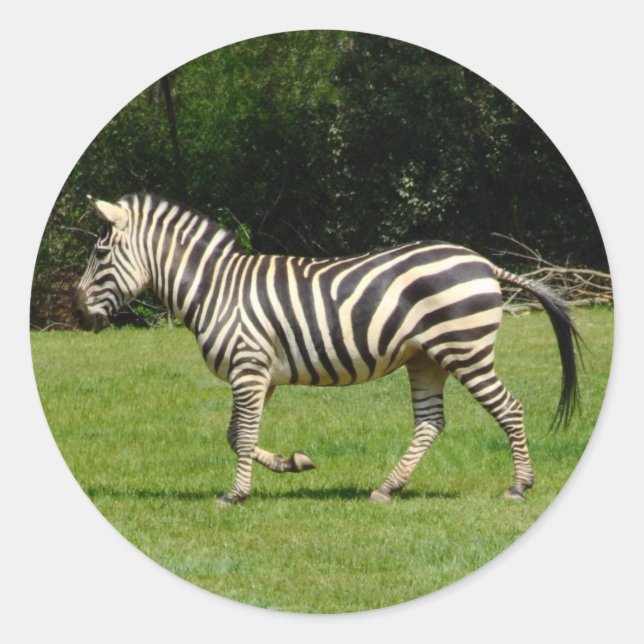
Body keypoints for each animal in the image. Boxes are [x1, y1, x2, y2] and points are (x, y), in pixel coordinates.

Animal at [73, 192, 579, 507]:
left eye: (100, 253)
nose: (76, 314)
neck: (215, 289)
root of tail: (484, 263)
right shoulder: (260, 374)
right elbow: (237, 435)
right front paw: (293, 463)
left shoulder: (248, 367)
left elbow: (243, 436)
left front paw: (236, 495)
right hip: (426, 358)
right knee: (430, 423)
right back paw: (387, 488)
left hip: (464, 350)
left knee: (509, 409)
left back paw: (519, 485)